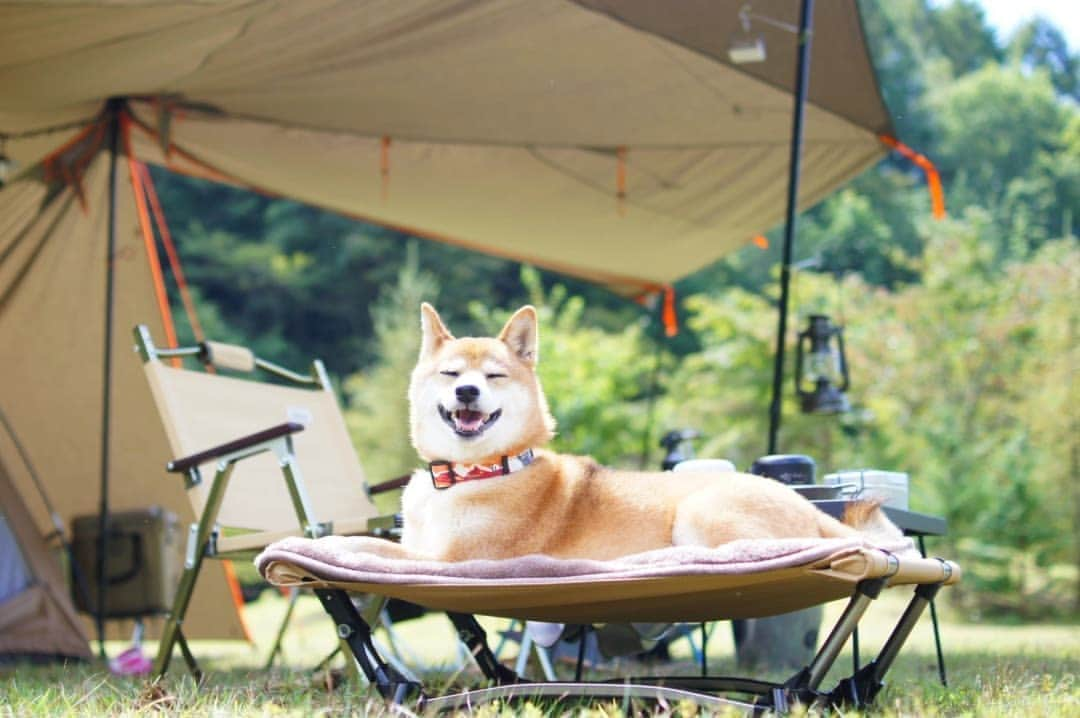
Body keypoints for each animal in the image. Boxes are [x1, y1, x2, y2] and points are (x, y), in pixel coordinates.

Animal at [399, 302, 902, 561]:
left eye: (495, 376)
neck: (473, 473)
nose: (467, 391)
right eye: (450, 373)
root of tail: (812, 508)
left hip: (702, 511)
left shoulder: (452, 559)